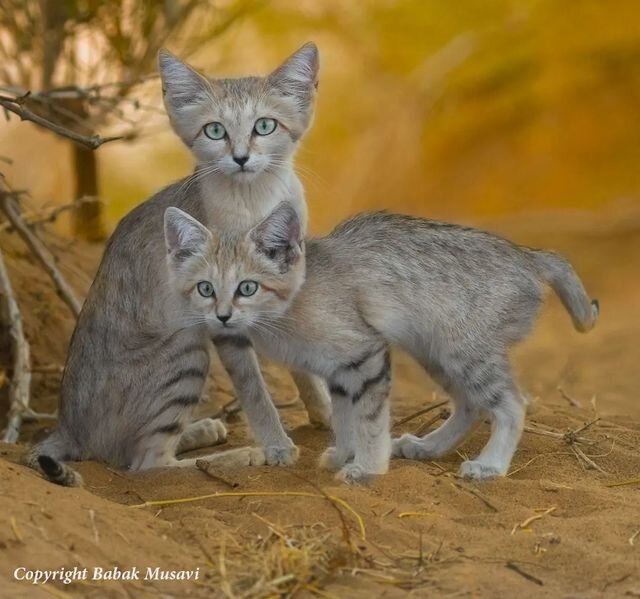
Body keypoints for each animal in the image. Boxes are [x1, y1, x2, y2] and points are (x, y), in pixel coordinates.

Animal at [25, 42, 330, 486]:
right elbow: (255, 390)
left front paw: (325, 413)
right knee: (147, 462)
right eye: (215, 131)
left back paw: (204, 431)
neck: (256, 200)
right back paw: (238, 455)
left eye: (265, 126)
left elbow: (303, 362)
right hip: (187, 348)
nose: (241, 158)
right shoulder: (226, 316)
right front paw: (276, 445)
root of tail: (66, 425)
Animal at [162, 204, 596, 486]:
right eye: (205, 289)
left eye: (247, 288)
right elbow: (344, 419)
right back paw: (428, 447)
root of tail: (528, 255)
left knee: (512, 404)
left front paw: (368, 467)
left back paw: (489, 465)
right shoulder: (338, 372)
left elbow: (368, 420)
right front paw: (344, 454)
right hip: (436, 352)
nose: (222, 317)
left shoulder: (365, 355)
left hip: (463, 352)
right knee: (470, 404)